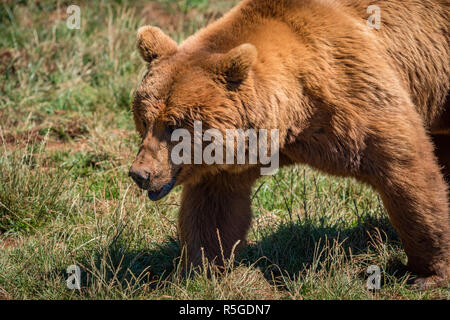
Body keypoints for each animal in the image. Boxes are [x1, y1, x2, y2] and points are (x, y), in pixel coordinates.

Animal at [128, 0, 448, 288]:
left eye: (174, 126)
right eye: (144, 119)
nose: (140, 173)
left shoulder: (353, 89)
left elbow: (403, 166)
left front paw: (427, 272)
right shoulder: (234, 157)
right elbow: (213, 210)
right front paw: (198, 270)